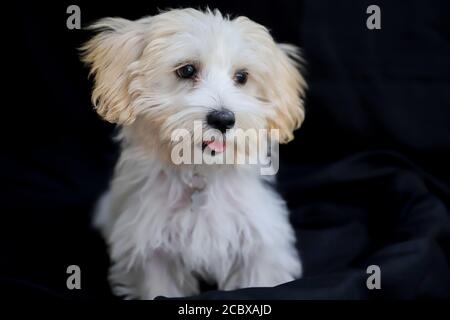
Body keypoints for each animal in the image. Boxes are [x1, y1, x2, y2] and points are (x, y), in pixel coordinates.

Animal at [81, 8, 306, 302]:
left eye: (242, 77)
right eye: (187, 70)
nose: (223, 119)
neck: (202, 172)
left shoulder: (259, 243)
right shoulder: (151, 251)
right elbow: (157, 288)